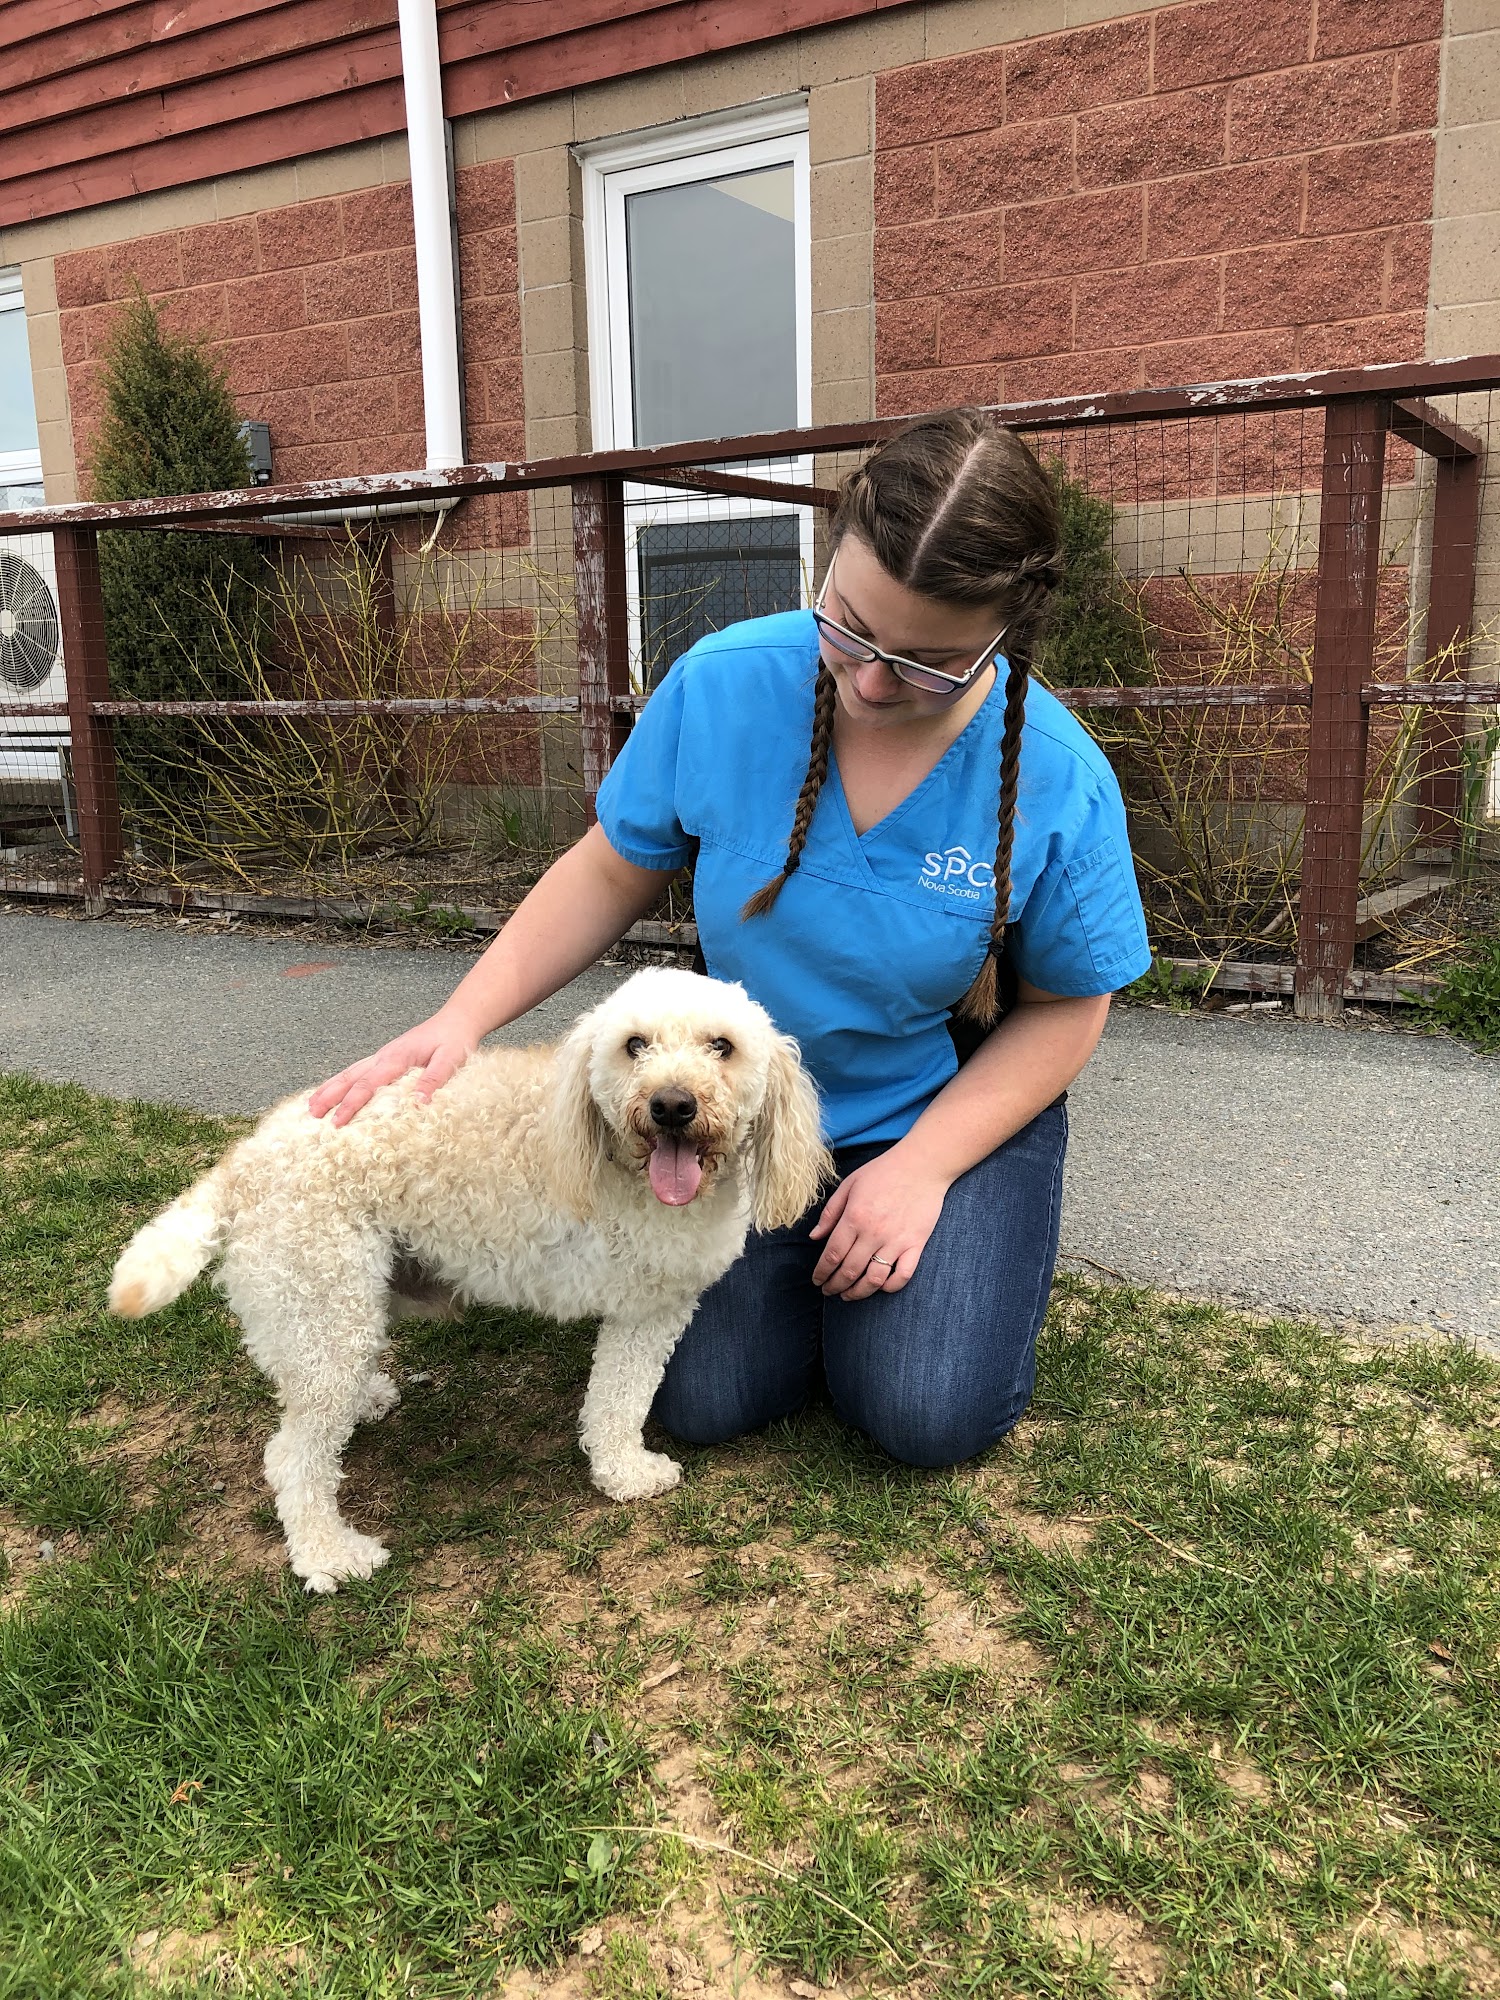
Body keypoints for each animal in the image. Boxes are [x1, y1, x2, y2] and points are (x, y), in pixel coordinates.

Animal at [109, 969, 830, 1593]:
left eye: (721, 1046)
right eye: (635, 1045)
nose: (671, 1105)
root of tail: (243, 1164)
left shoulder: (653, 1311)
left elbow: (619, 1399)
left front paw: (620, 1470)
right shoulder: (646, 1309)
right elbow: (620, 1402)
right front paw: (627, 1473)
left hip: (342, 1307)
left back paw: (367, 1401)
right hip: (324, 1302)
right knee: (294, 1459)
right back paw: (330, 1555)